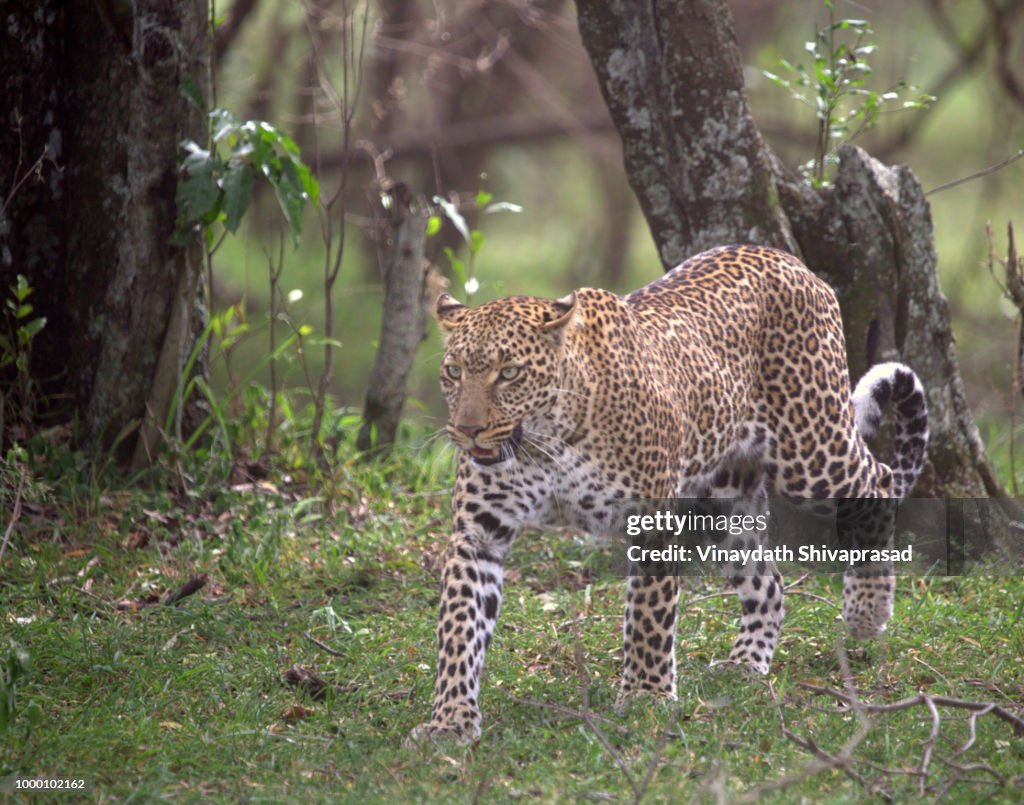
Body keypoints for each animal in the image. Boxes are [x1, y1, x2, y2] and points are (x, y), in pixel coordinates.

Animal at [405, 241, 929, 741]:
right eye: (454, 372)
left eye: (509, 373)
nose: (466, 430)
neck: (546, 440)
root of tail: (786, 258)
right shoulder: (479, 534)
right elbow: (459, 628)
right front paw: (450, 720)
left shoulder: (652, 521)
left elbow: (648, 615)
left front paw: (646, 696)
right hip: (723, 503)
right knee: (769, 582)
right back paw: (746, 663)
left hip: (811, 450)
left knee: (878, 481)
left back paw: (867, 612)